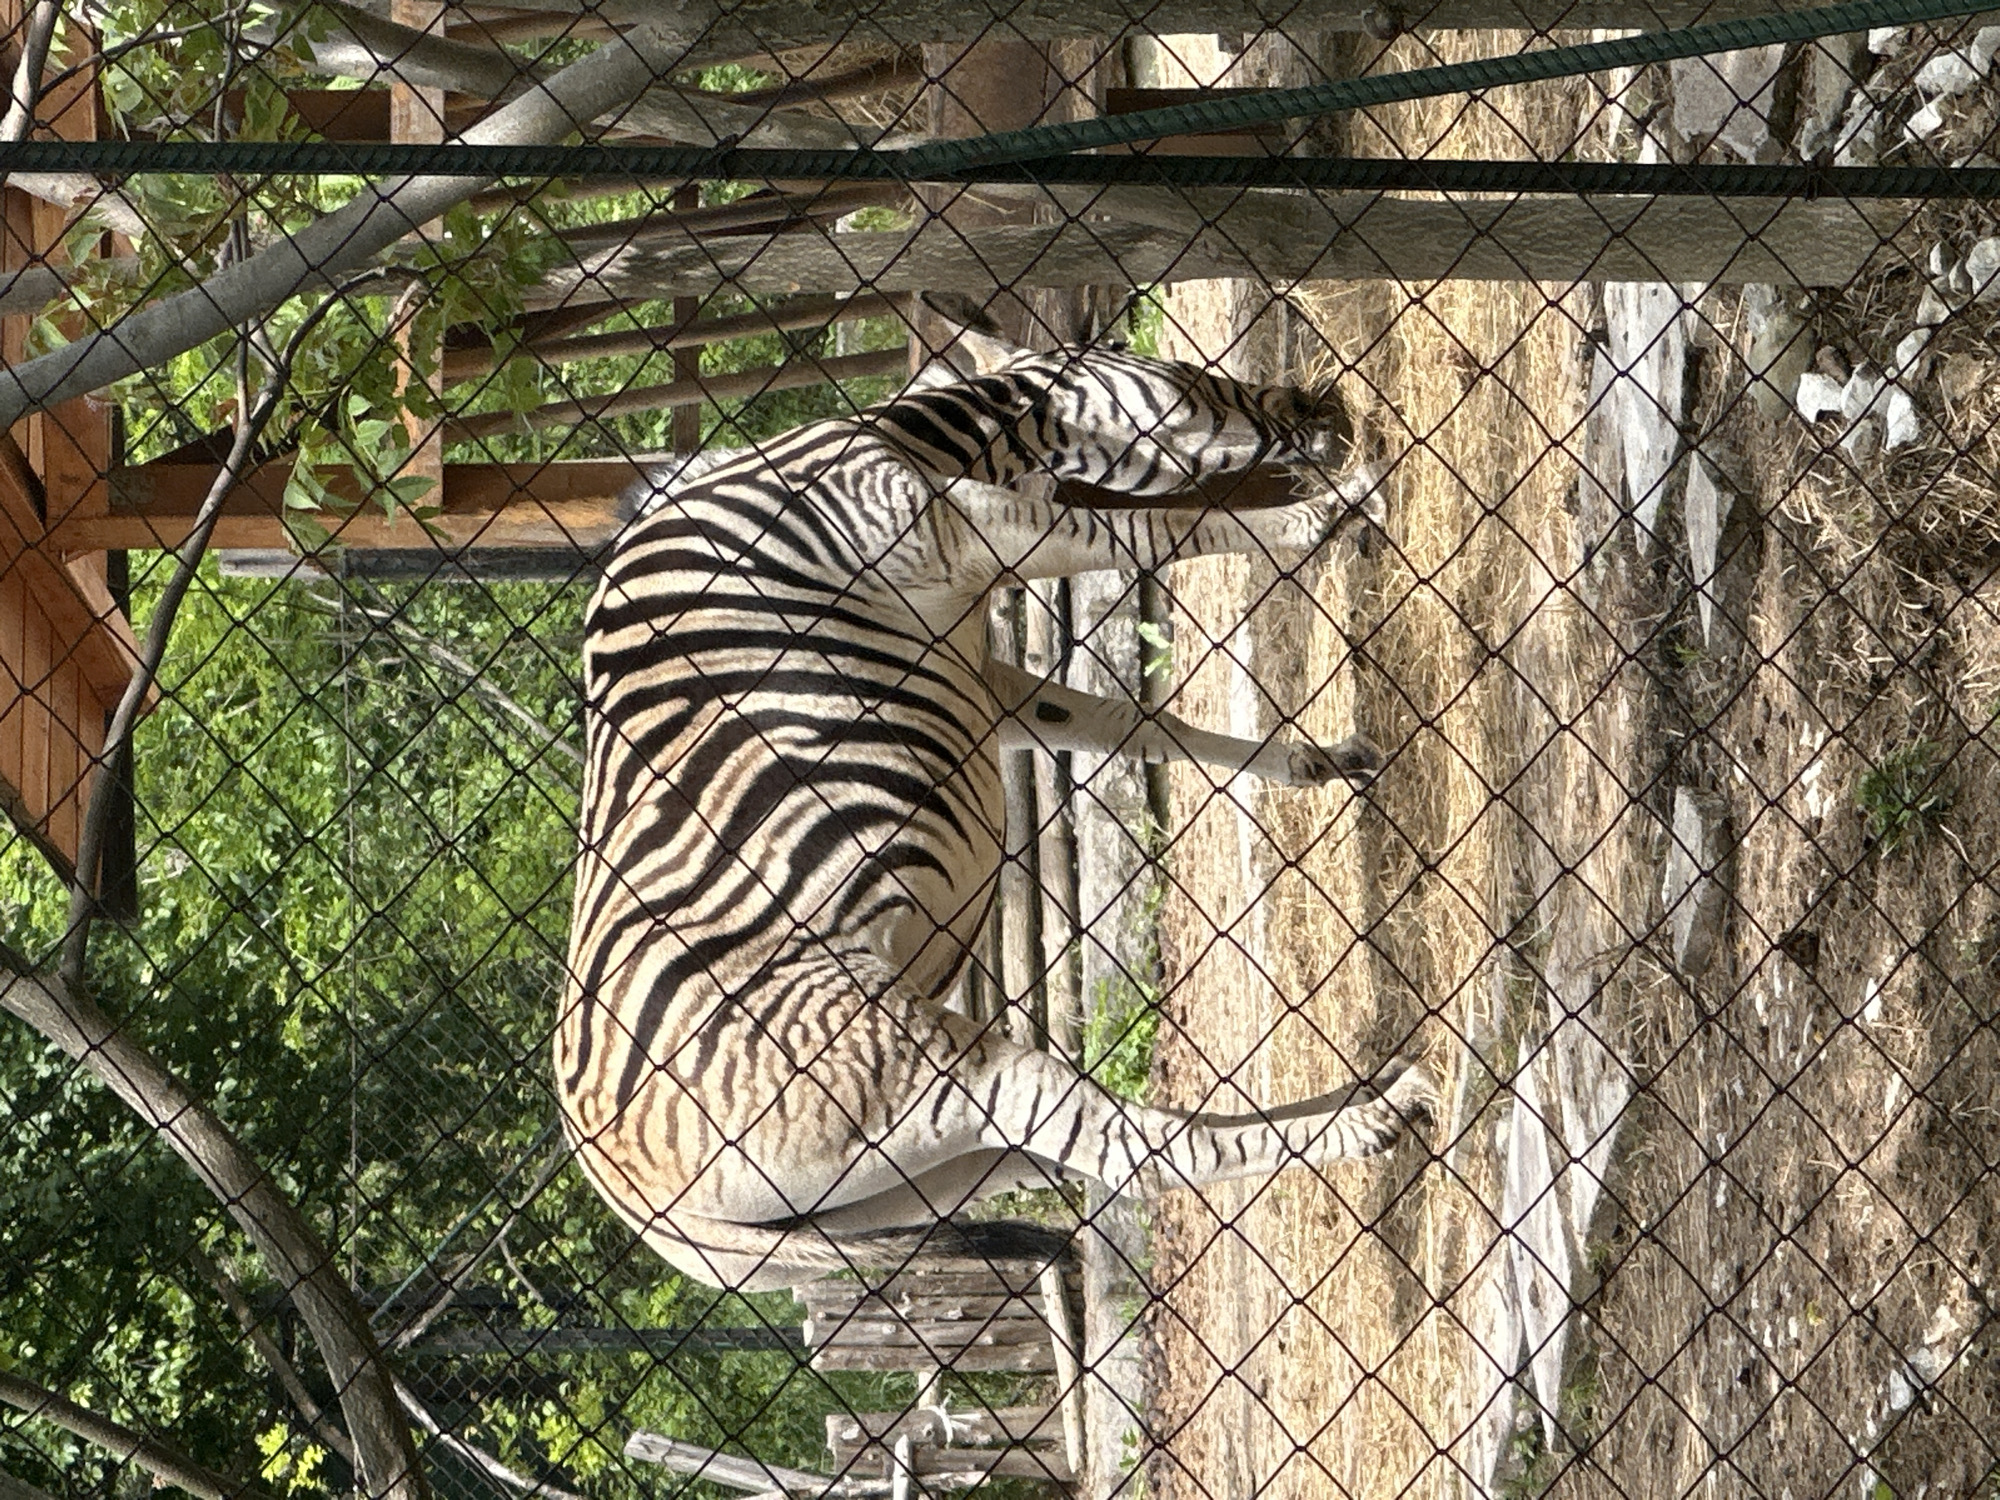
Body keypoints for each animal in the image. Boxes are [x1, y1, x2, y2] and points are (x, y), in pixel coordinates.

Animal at [556, 342, 1436, 1291]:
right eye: (1183, 376)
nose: (1327, 409)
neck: (907, 438)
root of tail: (639, 1206)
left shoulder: (988, 678)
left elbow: (1135, 725)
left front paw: (1314, 761)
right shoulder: (955, 527)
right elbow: (1159, 534)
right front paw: (1333, 511)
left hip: (922, 1173)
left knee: (1113, 1147)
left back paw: (1368, 1090)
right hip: (920, 1068)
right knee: (1137, 1152)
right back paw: (1377, 1116)